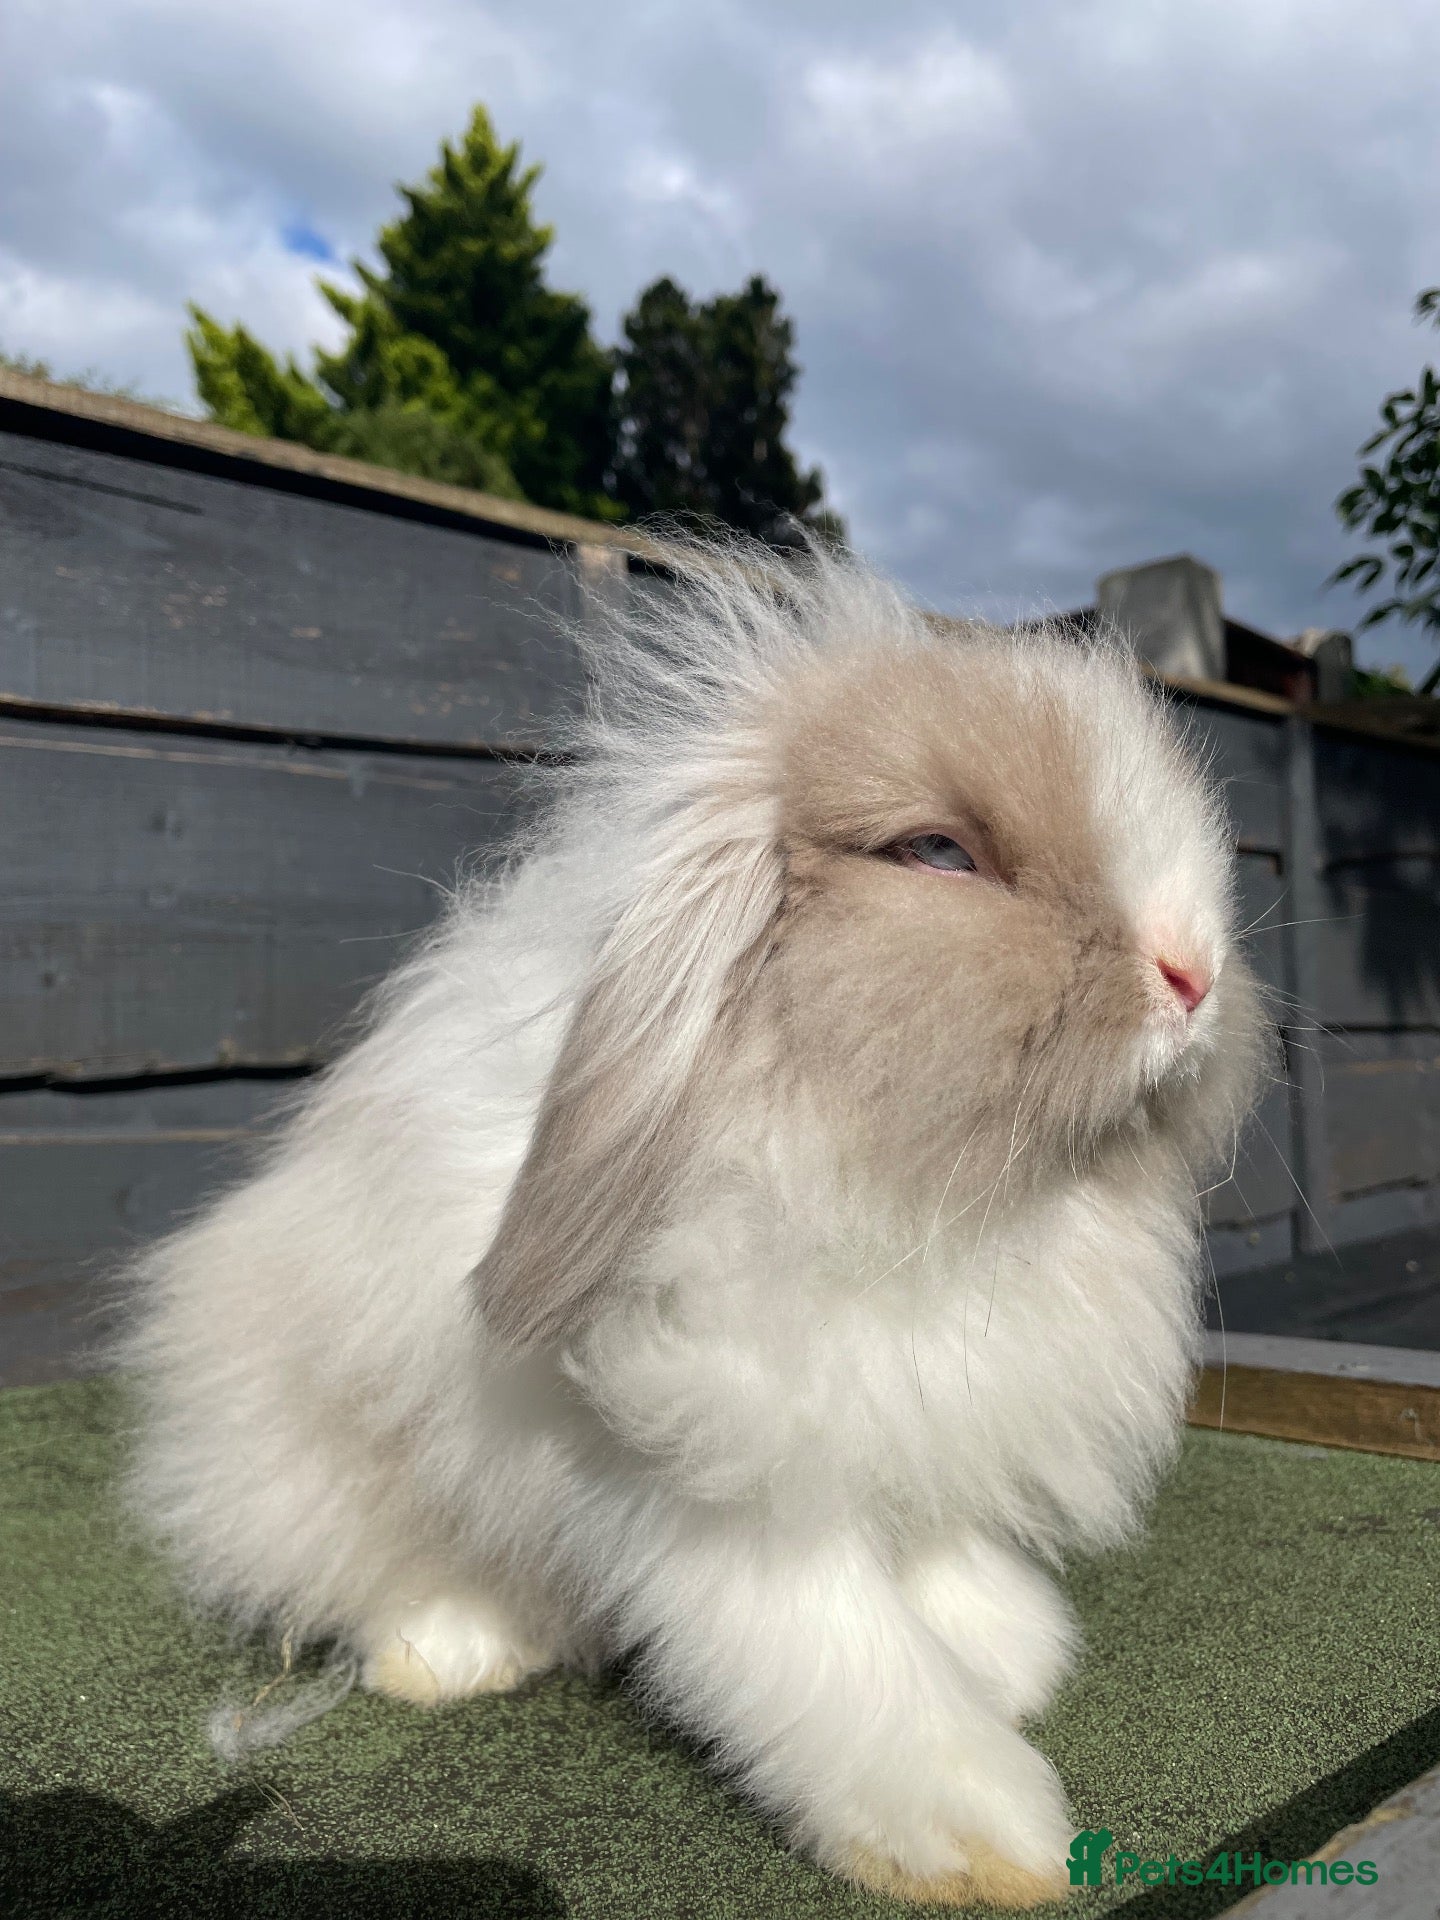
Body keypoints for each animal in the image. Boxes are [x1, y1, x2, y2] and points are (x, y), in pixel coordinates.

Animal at [120, 536, 1269, 1908]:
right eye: (938, 854)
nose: (1193, 974)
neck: (900, 1178)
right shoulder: (719, 1458)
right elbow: (829, 1638)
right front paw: (972, 1833)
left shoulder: (923, 1400)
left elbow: (929, 1545)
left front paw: (1002, 1650)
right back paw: (451, 1648)